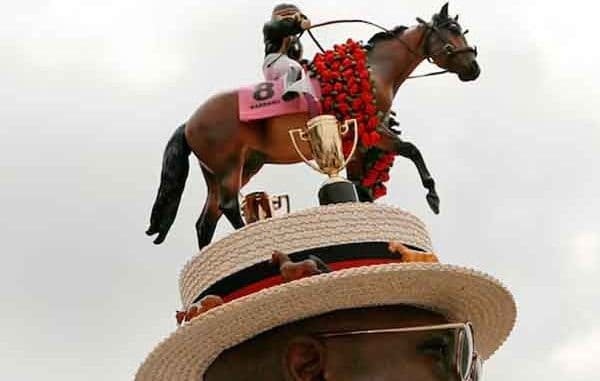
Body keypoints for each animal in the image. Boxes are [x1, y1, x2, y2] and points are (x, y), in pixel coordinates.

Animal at [144, 3, 478, 252]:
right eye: (451, 30)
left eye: (462, 30)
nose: (474, 68)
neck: (373, 70)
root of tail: (190, 121)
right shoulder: (370, 135)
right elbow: (412, 149)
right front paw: (433, 197)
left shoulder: (361, 144)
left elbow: (368, 183)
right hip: (230, 167)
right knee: (227, 206)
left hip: (231, 169)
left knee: (206, 220)